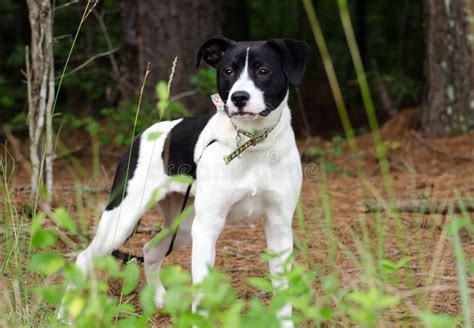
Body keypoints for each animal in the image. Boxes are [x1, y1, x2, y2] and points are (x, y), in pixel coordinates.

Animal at [59, 34, 310, 326]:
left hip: (183, 224)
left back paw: (158, 299)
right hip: (124, 218)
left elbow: (283, 293)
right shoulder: (207, 228)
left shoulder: (279, 227)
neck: (253, 145)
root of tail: (142, 135)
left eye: (264, 71)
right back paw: (64, 314)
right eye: (228, 71)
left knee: (150, 250)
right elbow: (202, 294)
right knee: (84, 258)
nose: (238, 98)